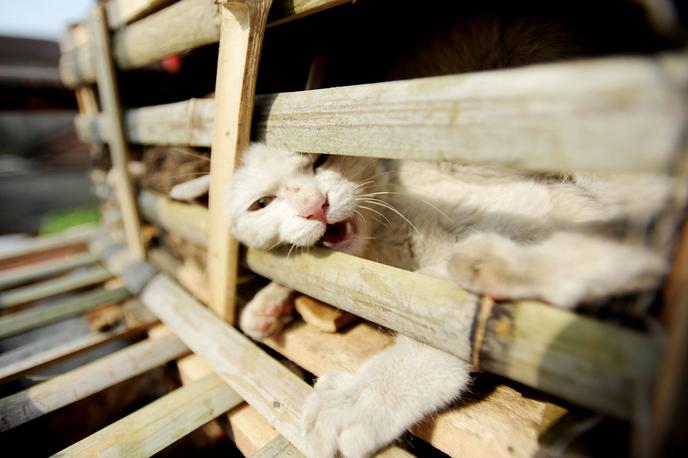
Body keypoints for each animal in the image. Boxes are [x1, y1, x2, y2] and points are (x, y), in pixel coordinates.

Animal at [220, 141, 672, 456]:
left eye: (320, 160)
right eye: (262, 203)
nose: (315, 206)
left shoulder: (533, 208)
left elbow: (441, 318)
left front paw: (361, 400)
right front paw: (268, 304)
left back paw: (495, 264)